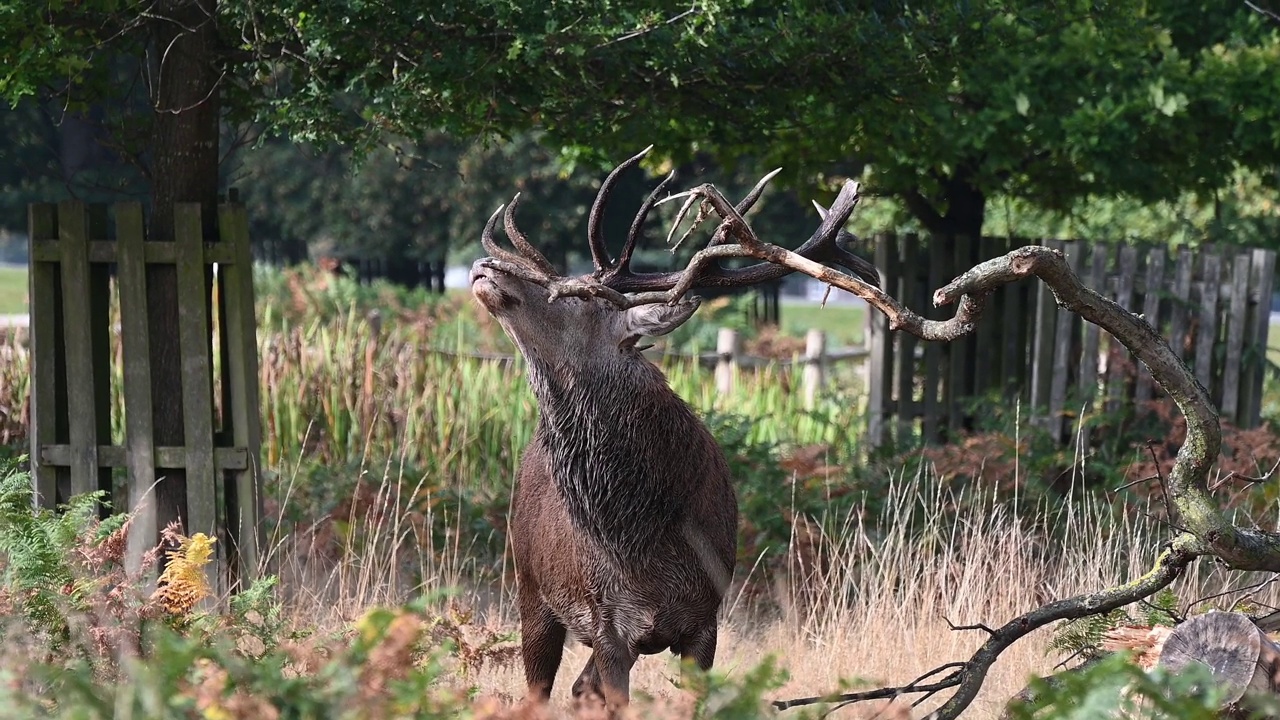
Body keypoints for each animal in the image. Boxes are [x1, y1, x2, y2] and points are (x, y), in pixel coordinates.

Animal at [471, 147, 880, 712]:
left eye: (581, 297)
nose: (484, 265)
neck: (645, 541)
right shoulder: (608, 621)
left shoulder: (706, 618)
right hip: (530, 587)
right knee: (540, 690)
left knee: (577, 688)